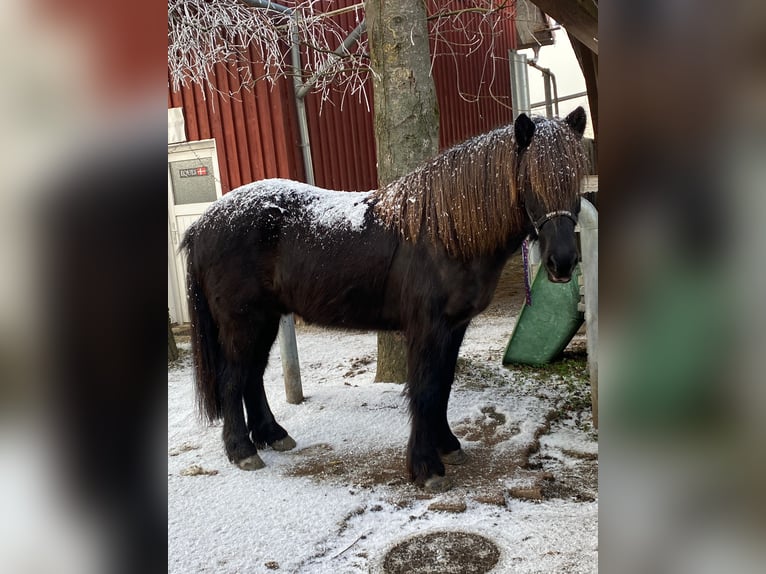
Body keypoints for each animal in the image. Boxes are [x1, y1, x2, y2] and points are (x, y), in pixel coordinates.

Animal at [183, 107, 592, 490]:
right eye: (530, 180)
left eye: (575, 178)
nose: (562, 262)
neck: (443, 233)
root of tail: (203, 224)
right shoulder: (427, 328)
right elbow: (425, 390)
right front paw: (426, 468)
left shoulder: (454, 327)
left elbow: (443, 386)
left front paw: (447, 446)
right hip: (242, 321)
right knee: (233, 379)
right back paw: (242, 450)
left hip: (265, 319)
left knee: (251, 377)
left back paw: (272, 435)